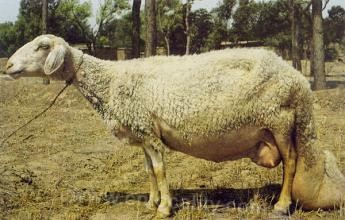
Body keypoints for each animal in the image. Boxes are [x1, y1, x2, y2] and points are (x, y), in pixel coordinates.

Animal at [4, 35, 344, 217]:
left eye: (42, 46)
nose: (7, 65)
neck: (110, 81)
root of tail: (298, 79)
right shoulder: (142, 131)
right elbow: (148, 171)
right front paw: (151, 201)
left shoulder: (149, 130)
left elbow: (160, 170)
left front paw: (164, 208)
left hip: (280, 120)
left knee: (291, 162)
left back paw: (281, 205)